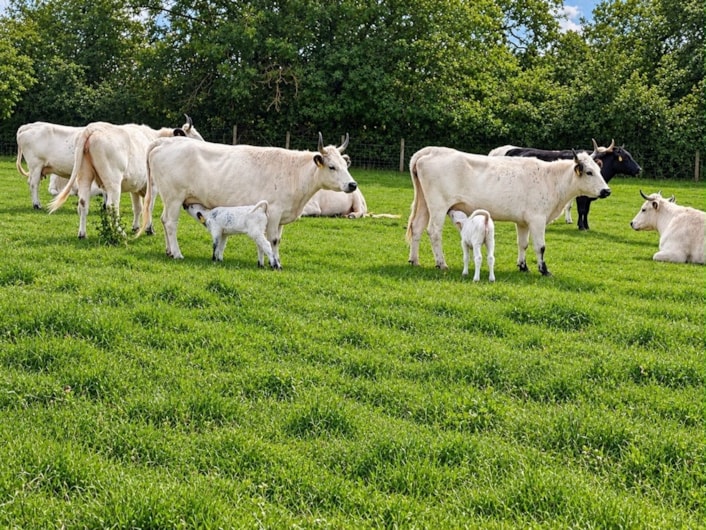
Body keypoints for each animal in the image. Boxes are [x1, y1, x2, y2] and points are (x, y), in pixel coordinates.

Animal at [48, 116, 203, 238]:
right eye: (194, 136)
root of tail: (94, 128)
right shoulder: (152, 187)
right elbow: (149, 207)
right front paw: (149, 229)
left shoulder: (136, 187)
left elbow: (138, 207)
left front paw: (135, 227)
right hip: (113, 182)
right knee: (111, 206)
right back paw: (119, 233)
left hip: (84, 176)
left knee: (83, 203)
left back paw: (82, 234)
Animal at [137, 133, 357, 269]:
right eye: (331, 166)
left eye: (344, 164)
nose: (353, 184)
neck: (295, 174)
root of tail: (165, 142)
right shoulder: (274, 212)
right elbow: (272, 240)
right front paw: (275, 263)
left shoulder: (281, 216)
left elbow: (275, 240)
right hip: (174, 196)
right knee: (171, 223)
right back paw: (177, 253)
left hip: (168, 198)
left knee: (164, 220)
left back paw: (168, 251)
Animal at [406, 147, 610, 276]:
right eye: (589, 172)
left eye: (599, 169)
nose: (606, 191)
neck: (551, 179)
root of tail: (432, 150)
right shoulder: (537, 219)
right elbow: (540, 246)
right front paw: (544, 270)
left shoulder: (523, 222)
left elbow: (523, 244)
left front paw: (523, 266)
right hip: (438, 206)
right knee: (434, 232)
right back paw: (441, 263)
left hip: (424, 204)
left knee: (417, 228)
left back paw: (414, 260)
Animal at [489, 140, 641, 230]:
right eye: (625, 157)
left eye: (630, 155)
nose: (639, 169)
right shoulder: (581, 197)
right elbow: (582, 210)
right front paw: (581, 226)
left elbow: (586, 210)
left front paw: (586, 226)